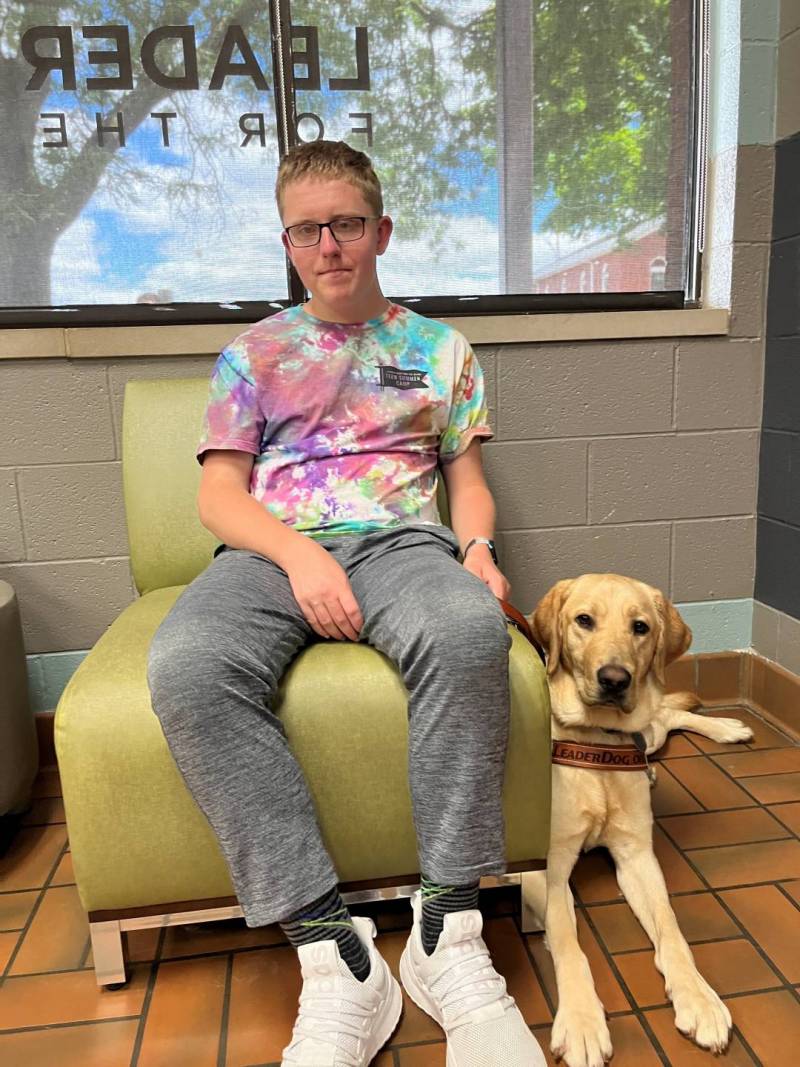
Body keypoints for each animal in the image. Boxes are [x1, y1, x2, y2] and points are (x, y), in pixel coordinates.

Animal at [529, 576, 755, 1067]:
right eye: (584, 620)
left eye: (640, 627)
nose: (615, 679)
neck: (598, 742)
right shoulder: (547, 872)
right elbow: (569, 944)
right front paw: (582, 1021)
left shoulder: (637, 857)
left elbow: (671, 929)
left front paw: (699, 998)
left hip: (647, 731)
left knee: (668, 714)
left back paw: (727, 728)